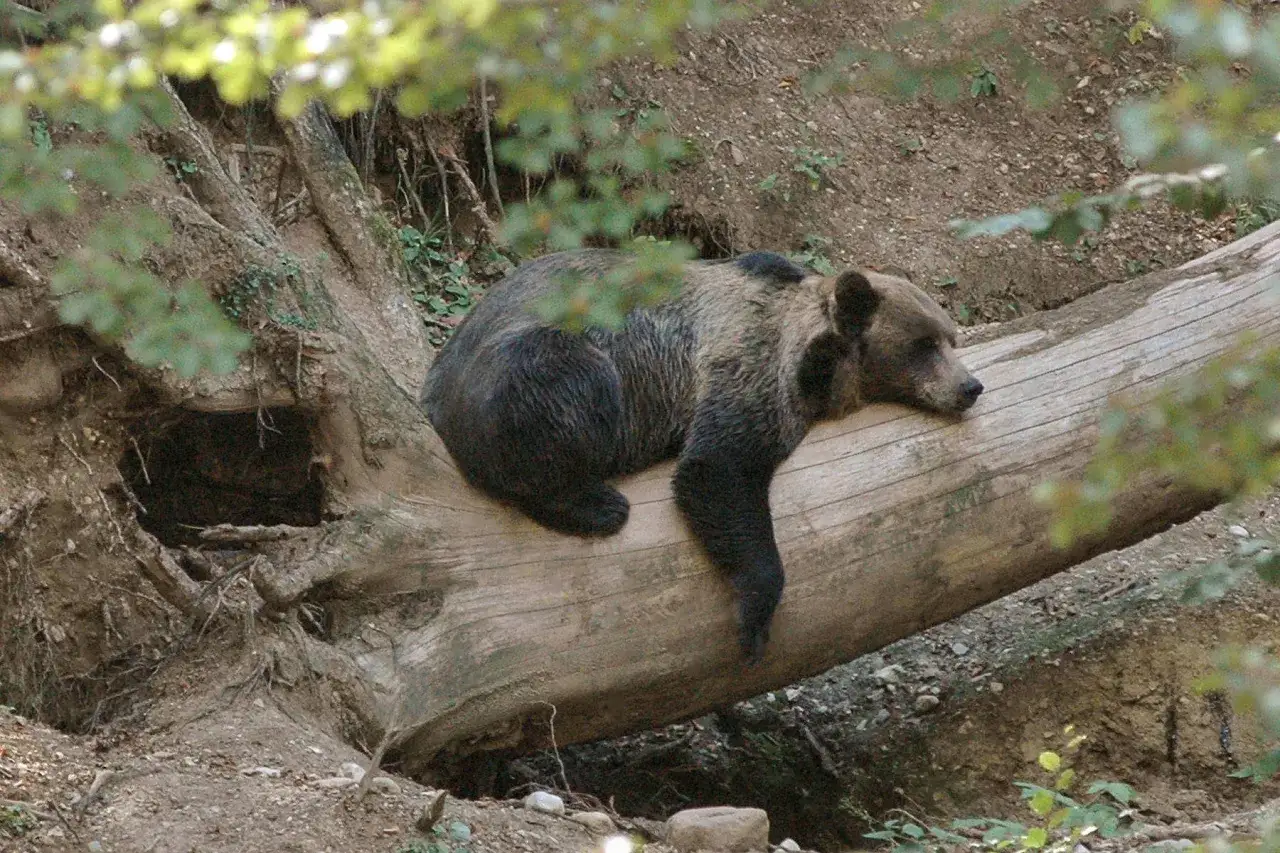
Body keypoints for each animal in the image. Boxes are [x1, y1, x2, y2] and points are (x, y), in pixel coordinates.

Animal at [421, 248, 983, 662]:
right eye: (923, 344)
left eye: (950, 338)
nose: (970, 387)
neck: (818, 363)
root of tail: (433, 392)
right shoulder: (751, 362)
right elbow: (718, 469)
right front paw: (756, 613)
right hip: (543, 358)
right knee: (565, 389)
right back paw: (595, 505)